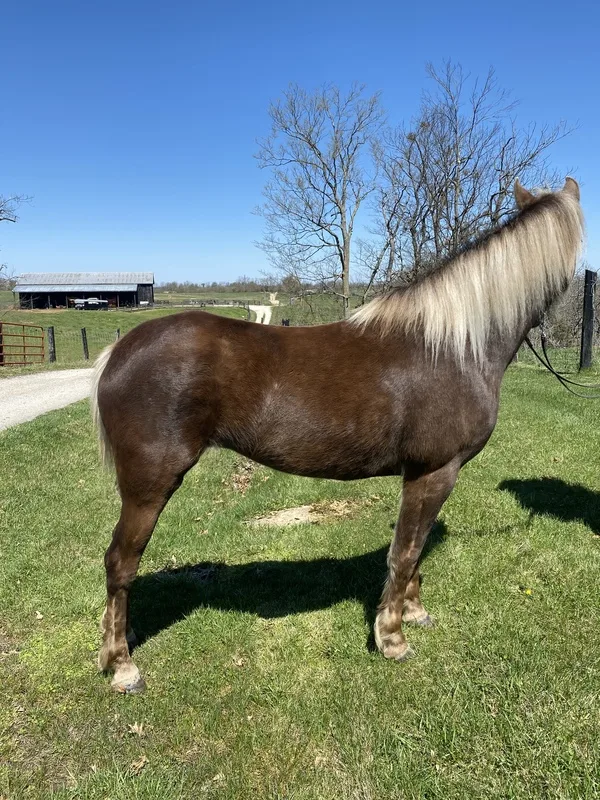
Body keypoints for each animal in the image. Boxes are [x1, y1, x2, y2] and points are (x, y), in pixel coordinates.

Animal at [92, 178, 583, 693]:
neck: (454, 346)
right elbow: (405, 552)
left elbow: (416, 549)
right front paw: (392, 637)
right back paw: (122, 664)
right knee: (120, 563)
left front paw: (414, 611)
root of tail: (118, 353)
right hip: (149, 485)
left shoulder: (424, 475)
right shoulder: (435, 472)